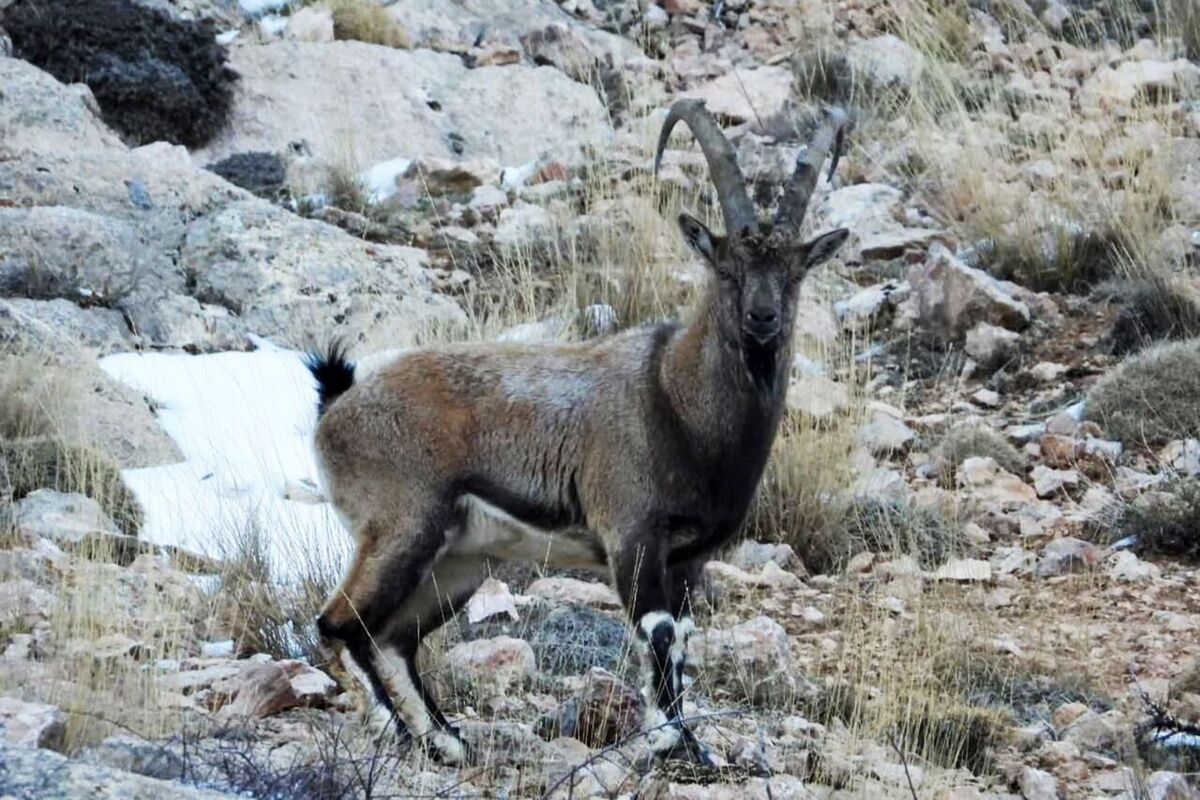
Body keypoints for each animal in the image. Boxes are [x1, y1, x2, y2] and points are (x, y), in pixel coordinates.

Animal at [309, 97, 854, 767]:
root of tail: (336, 407)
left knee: (392, 638)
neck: (677, 402)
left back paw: (449, 741)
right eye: (726, 269)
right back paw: (407, 735)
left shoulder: (690, 558)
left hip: (458, 562)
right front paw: (666, 741)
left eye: (795, 273)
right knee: (342, 624)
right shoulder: (632, 534)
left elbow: (683, 638)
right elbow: (657, 633)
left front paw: (689, 744)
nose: (763, 319)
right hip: (399, 528)